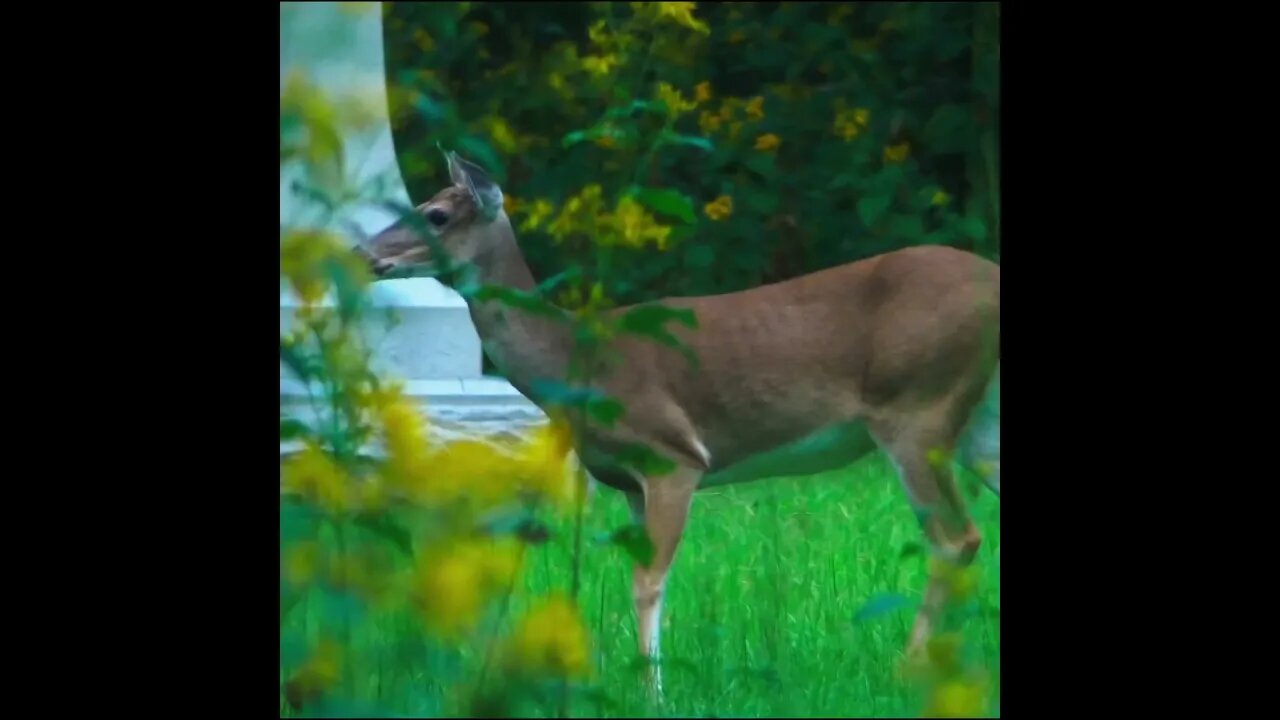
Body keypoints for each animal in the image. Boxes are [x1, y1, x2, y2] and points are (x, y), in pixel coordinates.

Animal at [356, 150, 1001, 697]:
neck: (575, 359)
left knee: (956, 538)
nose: (363, 254)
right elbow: (637, 575)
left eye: (436, 214)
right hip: (975, 425)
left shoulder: (673, 454)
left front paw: (654, 693)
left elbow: (649, 581)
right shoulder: (627, 481)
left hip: (917, 408)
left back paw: (910, 671)